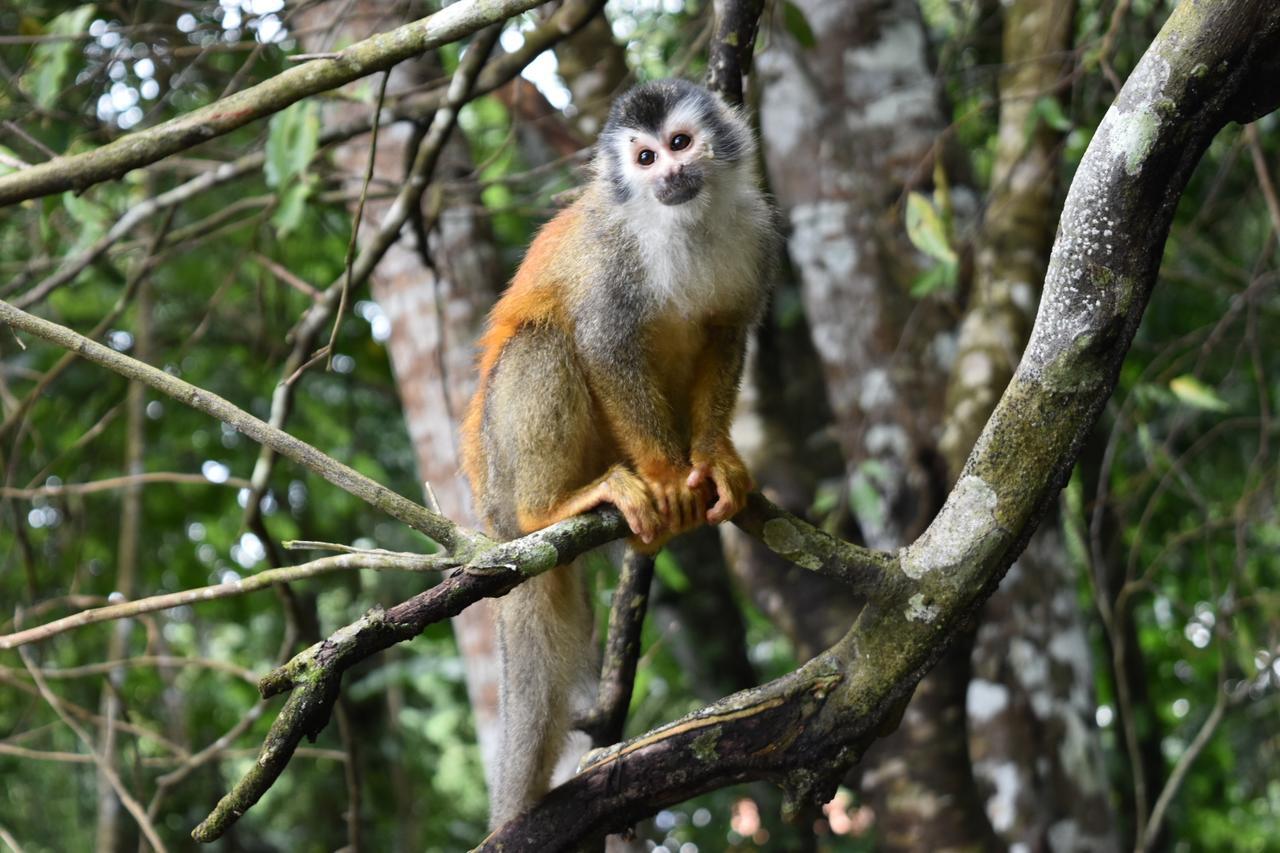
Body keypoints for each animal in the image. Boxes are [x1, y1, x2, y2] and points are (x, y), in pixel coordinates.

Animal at [463, 79, 773, 824]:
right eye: (644, 156)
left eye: (681, 143)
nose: (668, 173)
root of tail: (494, 521)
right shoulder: (614, 256)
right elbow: (604, 341)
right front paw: (666, 477)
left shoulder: (756, 232)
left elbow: (728, 331)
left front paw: (715, 460)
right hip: (503, 463)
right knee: (545, 342)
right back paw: (554, 507)